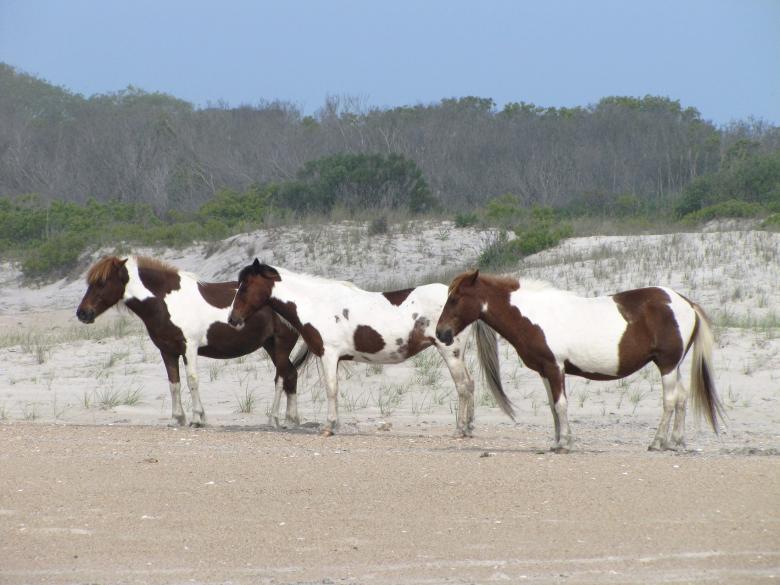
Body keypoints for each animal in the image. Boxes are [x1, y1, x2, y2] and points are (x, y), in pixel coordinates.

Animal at [76, 255, 301, 427]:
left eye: (102, 282)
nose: (82, 313)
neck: (166, 301)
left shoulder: (189, 347)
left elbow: (192, 380)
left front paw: (197, 419)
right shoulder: (167, 351)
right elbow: (174, 384)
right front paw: (177, 418)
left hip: (281, 344)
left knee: (282, 378)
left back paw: (274, 420)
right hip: (270, 345)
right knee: (291, 374)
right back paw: (291, 420)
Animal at [227, 259, 515, 437]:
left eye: (245, 286)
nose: (233, 319)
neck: (317, 303)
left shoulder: (328, 355)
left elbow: (331, 389)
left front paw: (329, 427)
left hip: (450, 352)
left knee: (463, 386)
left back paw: (460, 429)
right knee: (470, 385)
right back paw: (469, 427)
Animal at [435, 270, 725, 452]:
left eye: (456, 298)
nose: (441, 333)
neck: (533, 314)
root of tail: (686, 303)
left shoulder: (555, 367)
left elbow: (561, 405)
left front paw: (565, 443)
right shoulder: (545, 370)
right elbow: (553, 408)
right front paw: (556, 442)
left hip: (666, 364)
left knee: (670, 401)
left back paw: (658, 442)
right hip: (673, 366)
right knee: (682, 399)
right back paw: (677, 441)